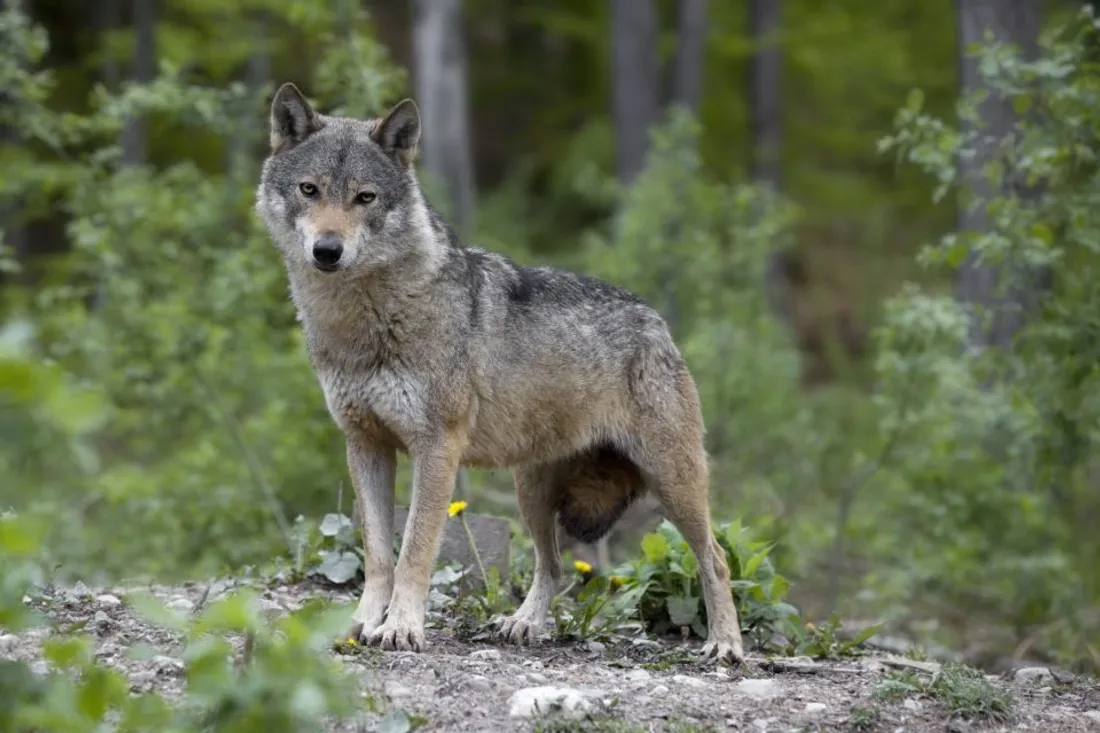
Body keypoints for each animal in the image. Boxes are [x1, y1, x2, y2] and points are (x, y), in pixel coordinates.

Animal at [254, 83, 745, 664]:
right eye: (309, 190)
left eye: (365, 198)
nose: (327, 250)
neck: (364, 323)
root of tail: (657, 322)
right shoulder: (365, 445)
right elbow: (377, 554)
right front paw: (360, 624)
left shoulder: (436, 449)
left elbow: (414, 550)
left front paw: (401, 628)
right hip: (531, 493)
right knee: (552, 566)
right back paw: (523, 624)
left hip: (673, 483)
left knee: (715, 557)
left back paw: (725, 644)